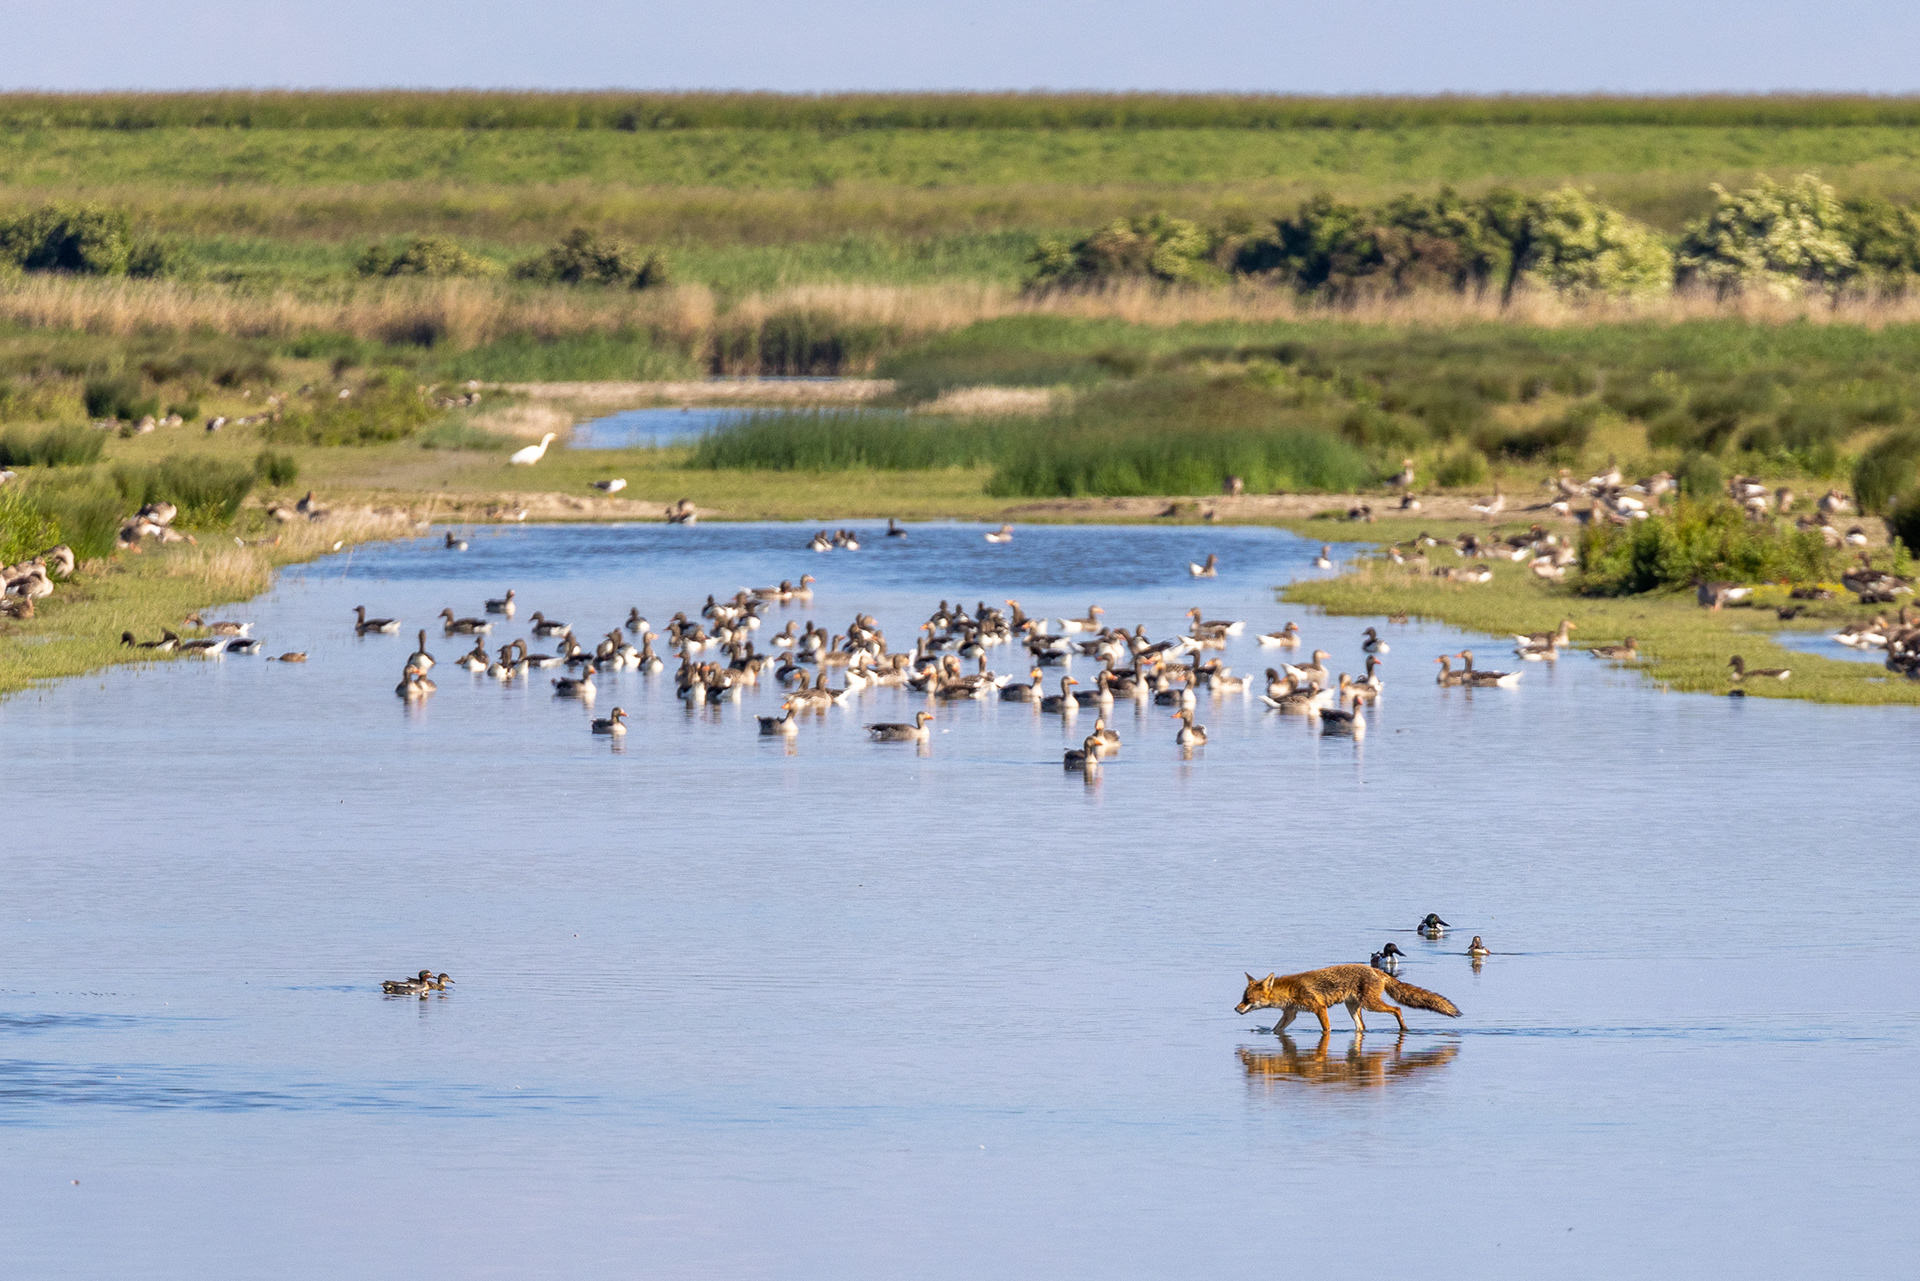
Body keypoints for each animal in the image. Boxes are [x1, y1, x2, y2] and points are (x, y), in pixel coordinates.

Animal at [1235, 965, 1462, 1035]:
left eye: (1247, 999)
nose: (1236, 1009)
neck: (1290, 991)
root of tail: (1377, 971)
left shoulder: (1319, 1008)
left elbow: (1326, 1029)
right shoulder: (1290, 1014)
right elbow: (1276, 1030)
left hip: (1371, 1005)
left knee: (1397, 1009)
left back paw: (1404, 1029)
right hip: (1353, 1008)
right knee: (1362, 1027)